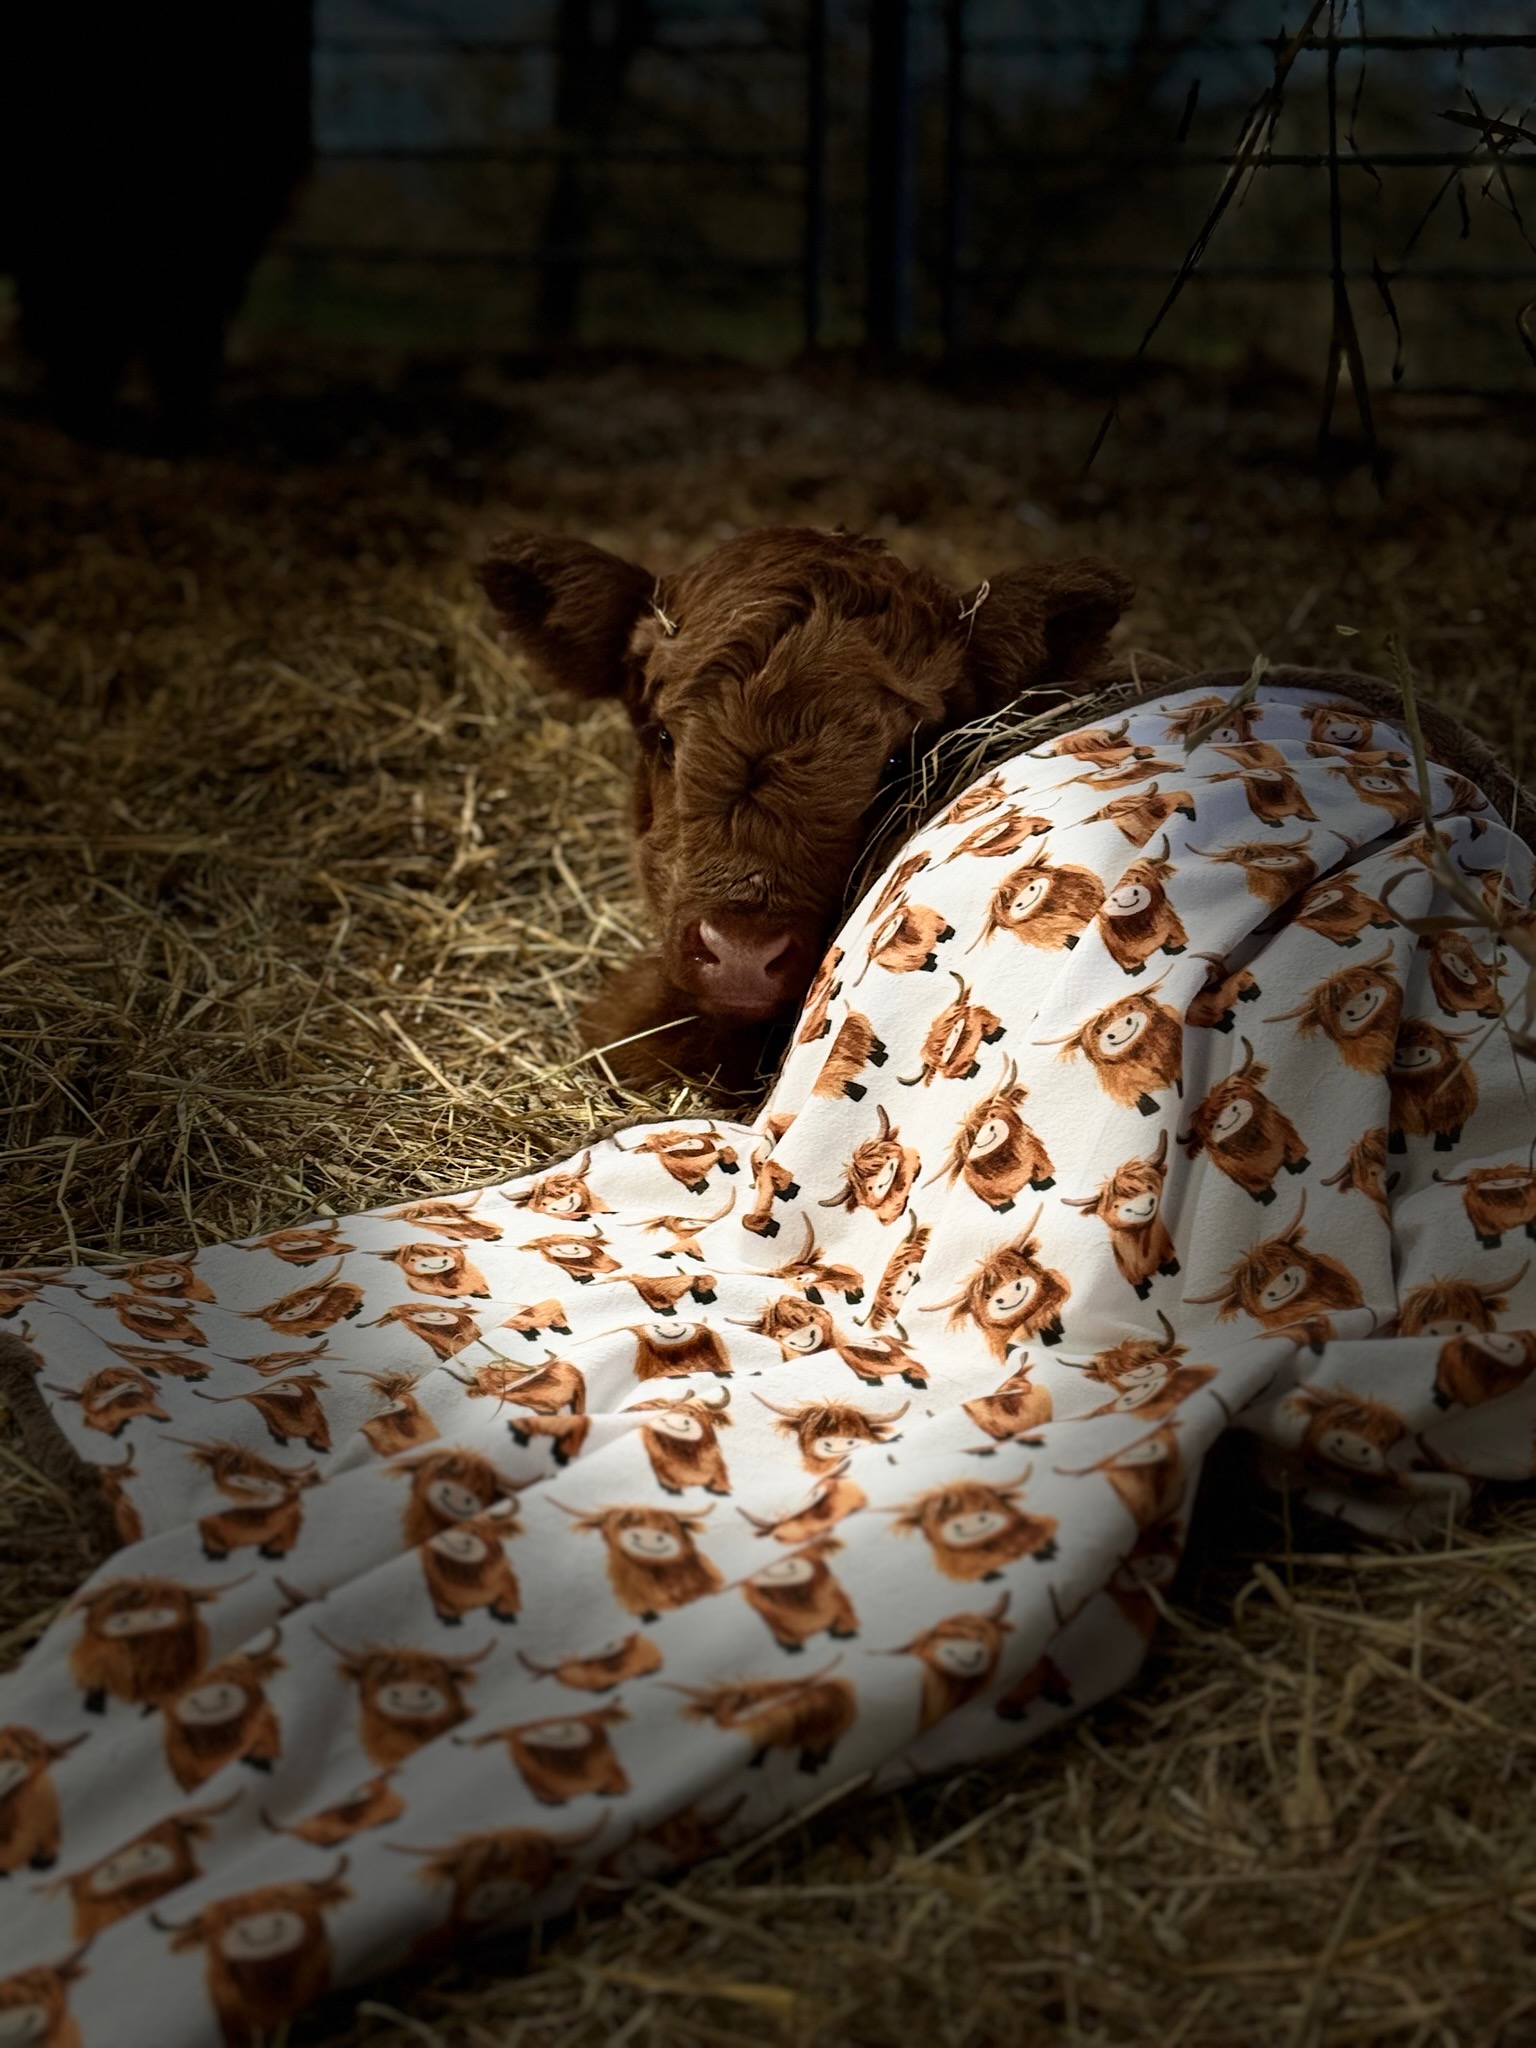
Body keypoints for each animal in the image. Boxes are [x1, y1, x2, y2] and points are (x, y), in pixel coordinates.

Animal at [1180, 1037, 1310, 1202]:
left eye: (1233, 1096)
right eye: (1210, 1126)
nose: (1227, 1119)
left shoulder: (1288, 1136)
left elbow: (1295, 1154)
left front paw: (1300, 1165)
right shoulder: (1243, 1176)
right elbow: (1258, 1187)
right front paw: (1266, 1196)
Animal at [1388, 1019, 1478, 1151]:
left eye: (1430, 1041)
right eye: (1397, 1044)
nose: (1409, 1053)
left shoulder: (1447, 1105)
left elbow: (1443, 1125)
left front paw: (1443, 1146)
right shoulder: (1396, 1112)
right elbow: (1396, 1130)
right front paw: (1396, 1149)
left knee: (1456, 1126)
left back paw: (1453, 1140)